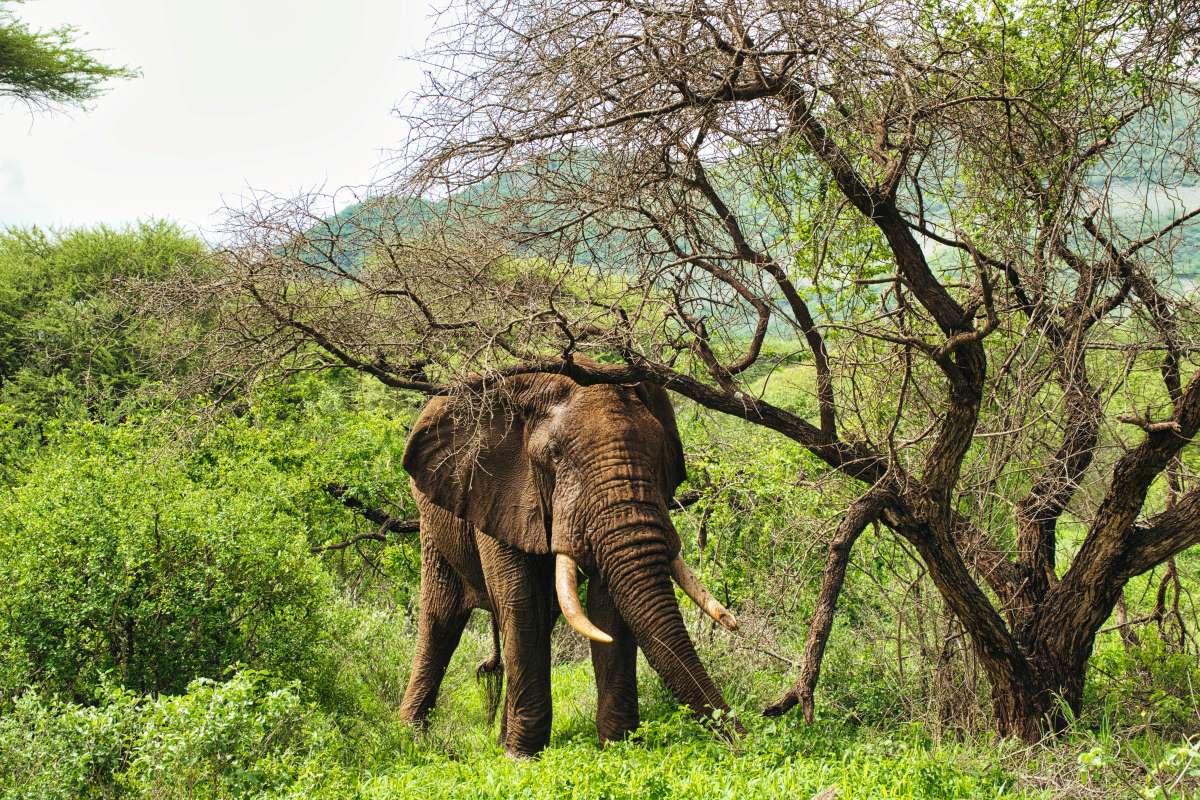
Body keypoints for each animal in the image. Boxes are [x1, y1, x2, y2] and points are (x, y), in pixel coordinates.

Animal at [397, 369, 738, 757]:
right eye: (555, 456)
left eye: (658, 453)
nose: (741, 738)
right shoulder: (501, 491)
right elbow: (521, 600)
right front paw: (522, 758)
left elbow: (607, 609)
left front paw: (617, 747)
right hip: (431, 521)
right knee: (441, 620)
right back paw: (412, 738)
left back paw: (498, 740)